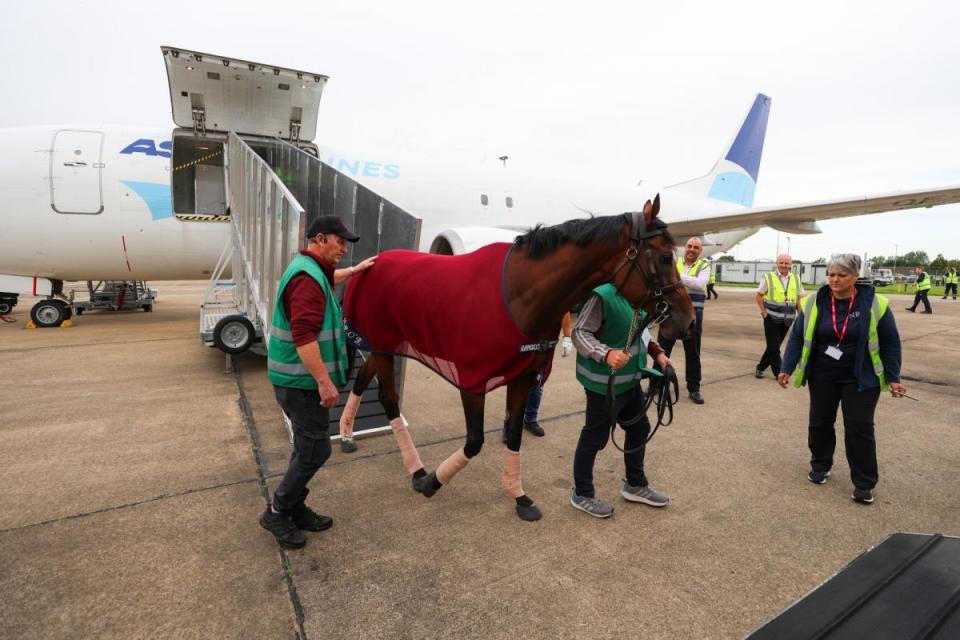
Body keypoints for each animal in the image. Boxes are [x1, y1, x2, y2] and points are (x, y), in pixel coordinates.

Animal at [338, 194, 688, 520]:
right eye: (665, 257)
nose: (685, 317)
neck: (521, 294)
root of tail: (372, 263)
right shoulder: (473, 381)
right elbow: (474, 441)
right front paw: (432, 483)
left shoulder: (523, 377)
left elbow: (516, 435)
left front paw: (519, 497)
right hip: (383, 346)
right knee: (389, 401)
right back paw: (416, 470)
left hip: (382, 346)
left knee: (363, 381)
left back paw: (347, 435)